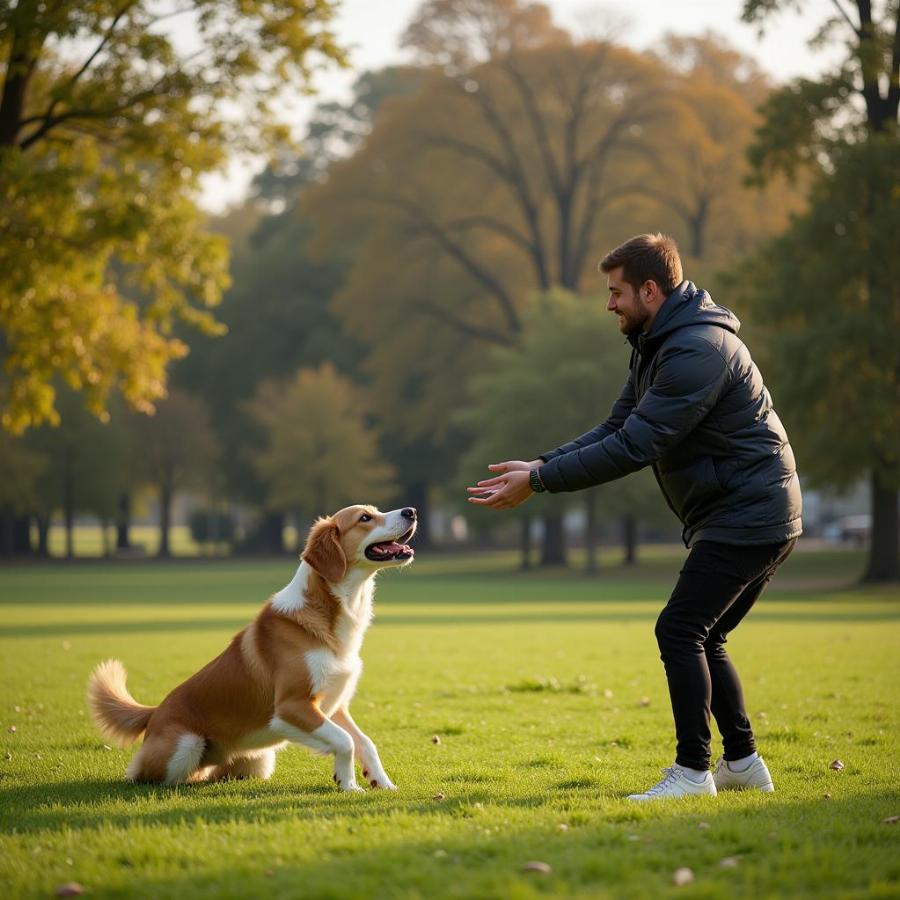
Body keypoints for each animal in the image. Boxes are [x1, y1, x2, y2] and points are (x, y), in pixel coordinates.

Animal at [86, 502, 416, 792]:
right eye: (365, 518)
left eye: (375, 511)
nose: (411, 511)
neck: (332, 611)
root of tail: (153, 712)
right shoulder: (291, 707)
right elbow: (345, 742)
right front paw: (348, 785)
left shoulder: (334, 705)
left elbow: (365, 743)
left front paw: (381, 783)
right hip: (187, 744)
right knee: (146, 776)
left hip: (259, 760)